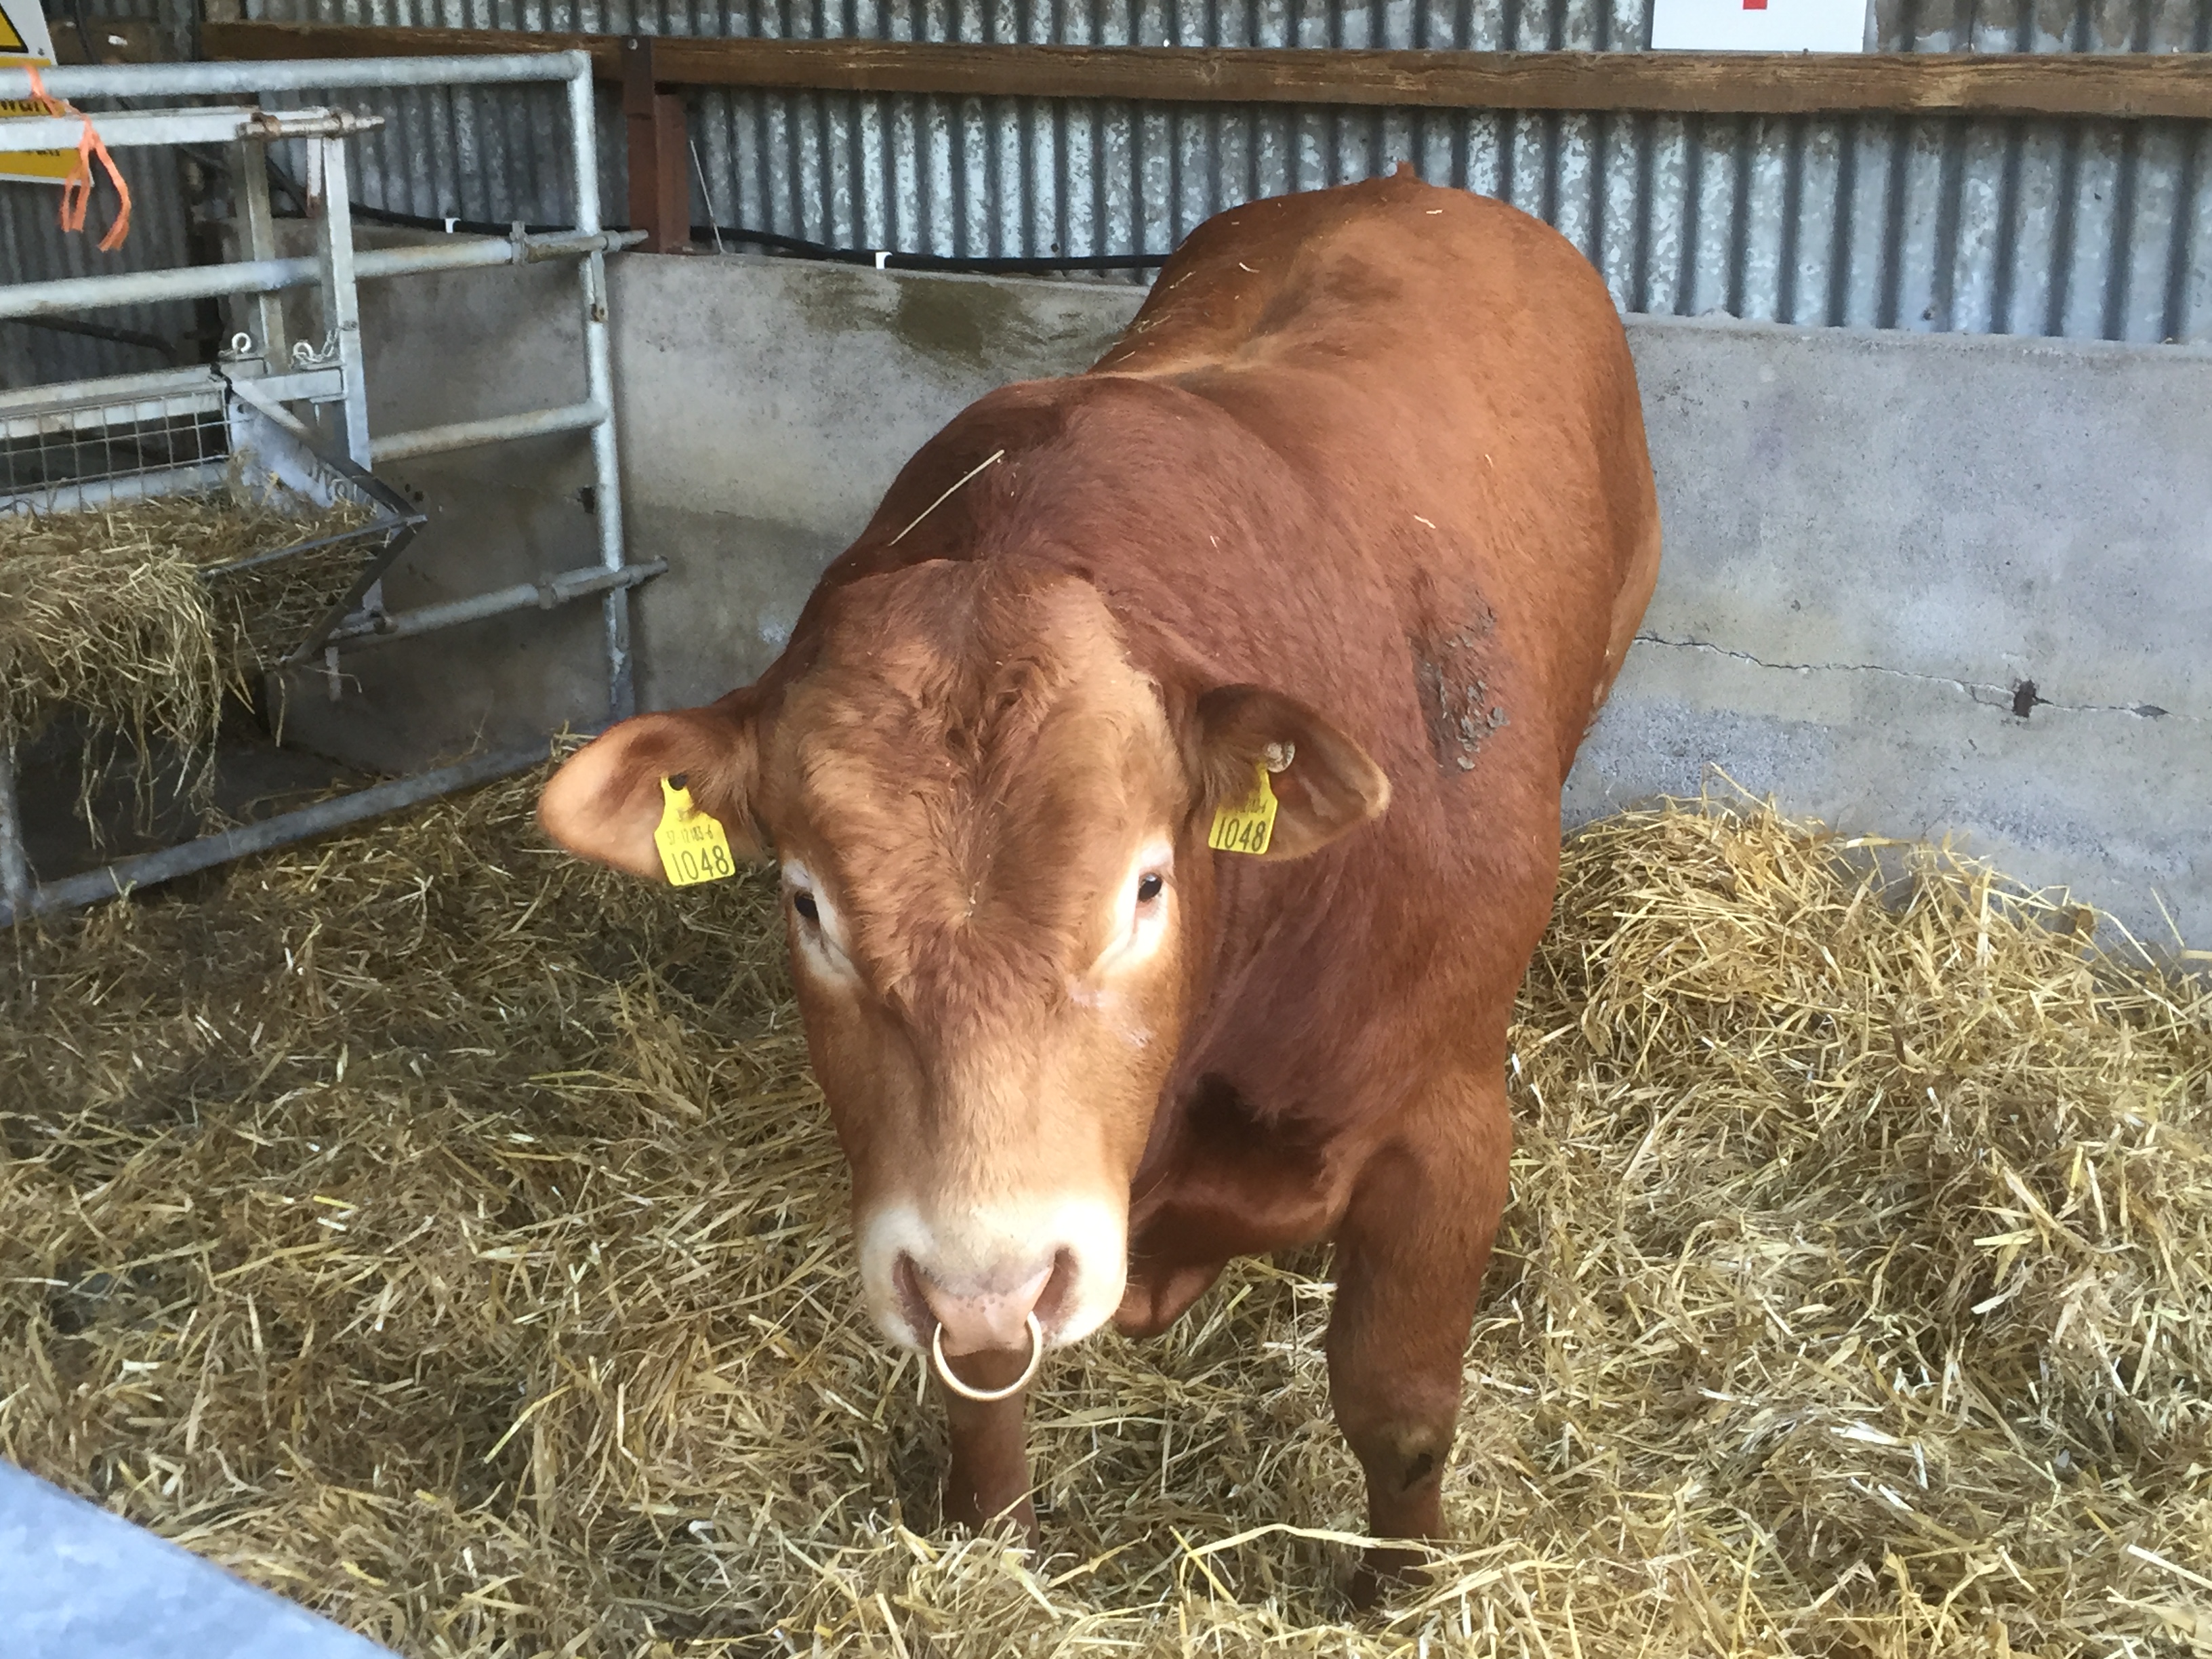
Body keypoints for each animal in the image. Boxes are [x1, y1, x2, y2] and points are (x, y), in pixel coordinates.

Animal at [539, 165, 1660, 1598]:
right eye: (804, 901)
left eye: (1144, 887)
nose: (991, 1272)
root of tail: (1405, 187)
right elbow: (981, 1394)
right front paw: (990, 1542)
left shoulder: (1448, 1125)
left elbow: (1397, 1406)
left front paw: (1398, 1589)